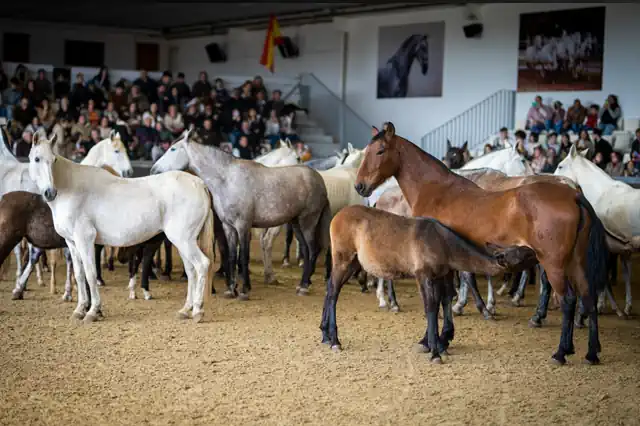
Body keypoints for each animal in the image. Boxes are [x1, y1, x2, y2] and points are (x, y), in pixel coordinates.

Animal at [27, 133, 215, 323]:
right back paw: (185, 310)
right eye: (37, 159)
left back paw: (197, 311)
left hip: (184, 240)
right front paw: (79, 310)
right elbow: (79, 275)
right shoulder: (72, 242)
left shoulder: (85, 239)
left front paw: (92, 311)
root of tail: (199, 183)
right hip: (183, 241)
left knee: (202, 265)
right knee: (191, 271)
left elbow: (90, 273)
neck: (71, 188)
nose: (50, 193)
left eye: (54, 160)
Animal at [150, 132, 331, 299]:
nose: (153, 170)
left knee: (312, 249)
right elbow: (231, 256)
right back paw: (302, 284)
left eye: (173, 149)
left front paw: (244, 290)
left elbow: (243, 256)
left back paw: (304, 286)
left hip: (308, 222)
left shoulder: (243, 225)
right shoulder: (228, 227)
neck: (228, 180)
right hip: (296, 223)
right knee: (307, 250)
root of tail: (319, 179)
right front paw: (230, 289)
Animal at [322, 205, 538, 363]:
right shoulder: (423, 275)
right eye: (525, 255)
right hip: (343, 259)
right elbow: (431, 307)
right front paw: (435, 351)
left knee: (330, 290)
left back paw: (325, 335)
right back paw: (335, 341)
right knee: (333, 293)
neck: (442, 242)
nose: (538, 255)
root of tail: (337, 216)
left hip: (354, 262)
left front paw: (440, 344)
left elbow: (445, 300)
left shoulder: (440, 275)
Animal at [354, 123, 609, 365]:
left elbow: (438, 299)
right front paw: (445, 337)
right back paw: (591, 352)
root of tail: (573, 194)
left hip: (553, 264)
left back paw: (560, 351)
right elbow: (447, 297)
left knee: (568, 300)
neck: (437, 191)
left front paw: (432, 341)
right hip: (576, 263)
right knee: (588, 297)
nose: (359, 186)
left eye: (380, 150)